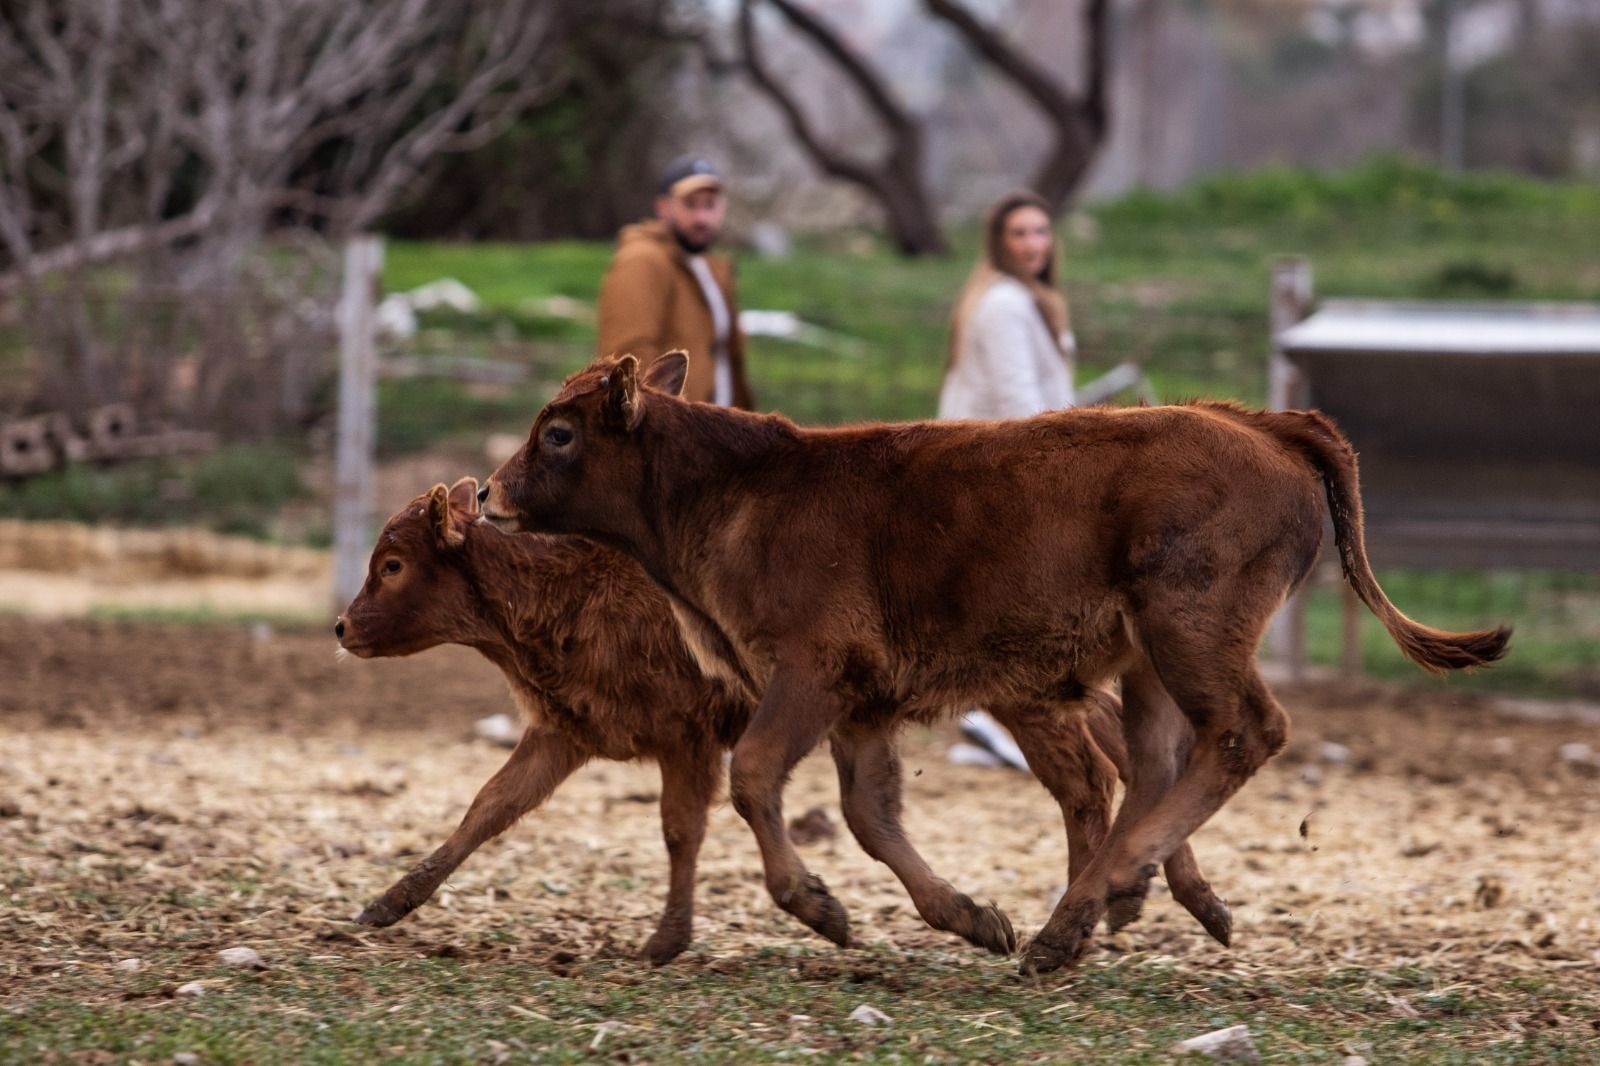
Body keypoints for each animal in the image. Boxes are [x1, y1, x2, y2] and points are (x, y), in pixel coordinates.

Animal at [334, 477, 1146, 963]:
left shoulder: (685, 738)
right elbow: (488, 808)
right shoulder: (566, 733)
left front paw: (666, 939)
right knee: (1107, 741)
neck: (562, 587)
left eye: (394, 564)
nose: (342, 626)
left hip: (1024, 688)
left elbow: (680, 828)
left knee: (1088, 777)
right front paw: (388, 903)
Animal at [479, 350, 1510, 975]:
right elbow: (871, 815)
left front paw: (818, 907)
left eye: (560, 430)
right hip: (1144, 663)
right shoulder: (864, 706)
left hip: (1189, 633)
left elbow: (761, 775)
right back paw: (1082, 918)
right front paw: (973, 918)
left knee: (1242, 734)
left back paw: (1103, 897)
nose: (487, 492)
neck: (738, 491)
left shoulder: (810, 675)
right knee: (1153, 767)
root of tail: (1267, 424)